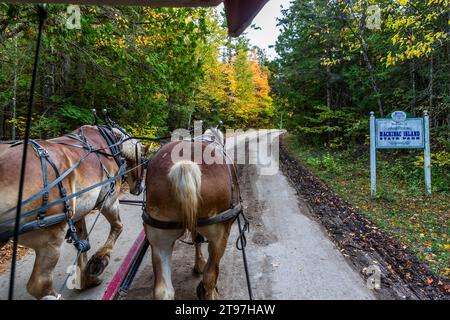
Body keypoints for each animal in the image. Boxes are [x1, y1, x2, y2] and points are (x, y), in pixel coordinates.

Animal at [0, 124, 144, 298]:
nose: (139, 188)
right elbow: (118, 227)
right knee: (40, 285)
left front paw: (86, 279)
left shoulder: (78, 213)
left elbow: (83, 243)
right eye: (142, 158)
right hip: (50, 235)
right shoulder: (109, 199)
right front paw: (99, 261)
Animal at [146, 128, 241, 300]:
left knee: (163, 291)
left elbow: (197, 239)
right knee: (210, 277)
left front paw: (198, 264)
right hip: (219, 234)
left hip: (159, 238)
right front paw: (201, 266)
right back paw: (210, 293)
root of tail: (185, 164)